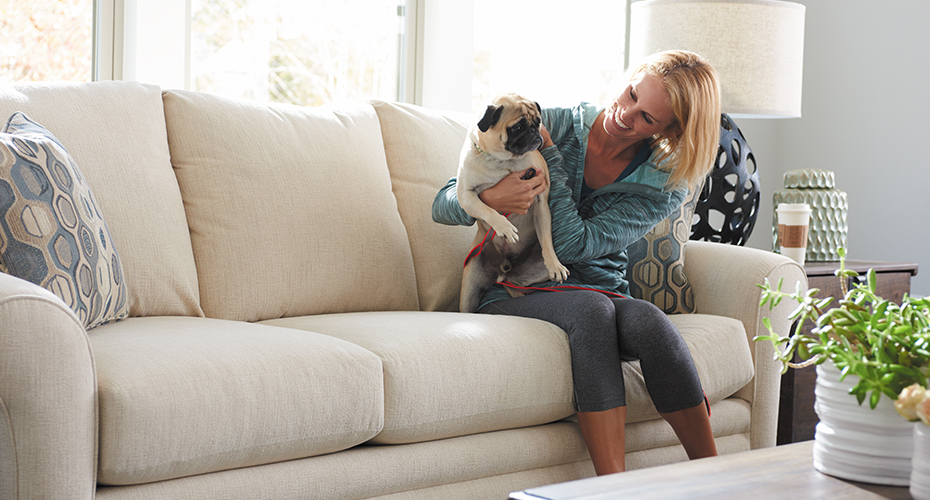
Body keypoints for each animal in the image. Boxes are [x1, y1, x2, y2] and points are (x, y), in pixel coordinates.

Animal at [454, 94, 568, 312]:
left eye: (538, 122)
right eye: (517, 127)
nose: (534, 132)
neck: (502, 161)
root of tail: (503, 271)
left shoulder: (540, 201)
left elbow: (546, 239)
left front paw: (555, 264)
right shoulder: (466, 196)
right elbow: (488, 210)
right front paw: (505, 227)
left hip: (530, 271)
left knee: (515, 284)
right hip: (469, 290)